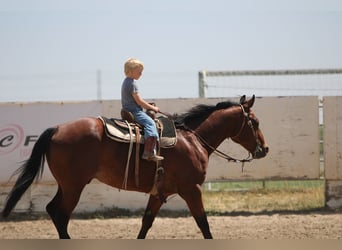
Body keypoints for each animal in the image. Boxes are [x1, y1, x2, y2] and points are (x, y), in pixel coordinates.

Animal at [2, 95, 268, 238]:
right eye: (254, 122)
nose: (264, 149)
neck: (192, 140)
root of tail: (56, 129)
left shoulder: (159, 193)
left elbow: (146, 222)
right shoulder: (192, 189)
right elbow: (203, 223)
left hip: (67, 185)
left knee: (53, 211)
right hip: (73, 186)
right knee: (60, 214)